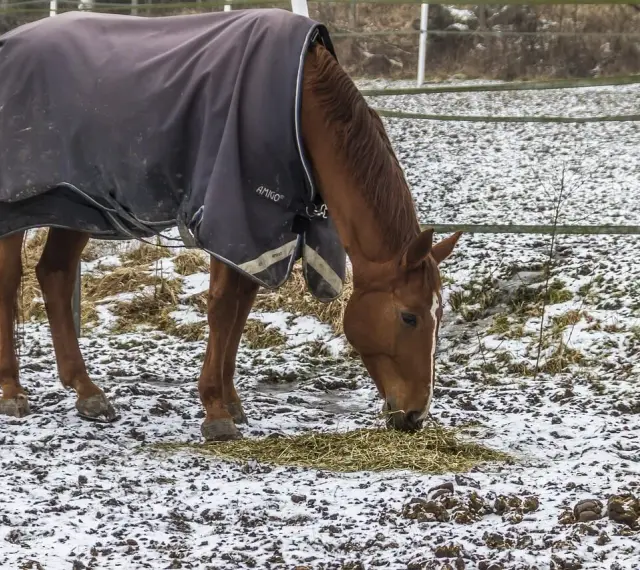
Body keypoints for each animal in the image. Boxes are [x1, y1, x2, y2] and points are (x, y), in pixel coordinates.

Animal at [0, 9, 461, 441]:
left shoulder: (265, 234)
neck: (301, 103)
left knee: (55, 275)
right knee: (10, 282)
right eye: (409, 317)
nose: (416, 415)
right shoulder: (233, 218)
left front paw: (231, 401)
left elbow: (241, 308)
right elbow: (223, 308)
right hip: (20, 208)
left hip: (76, 204)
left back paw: (86, 391)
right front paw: (216, 412)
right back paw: (11, 391)